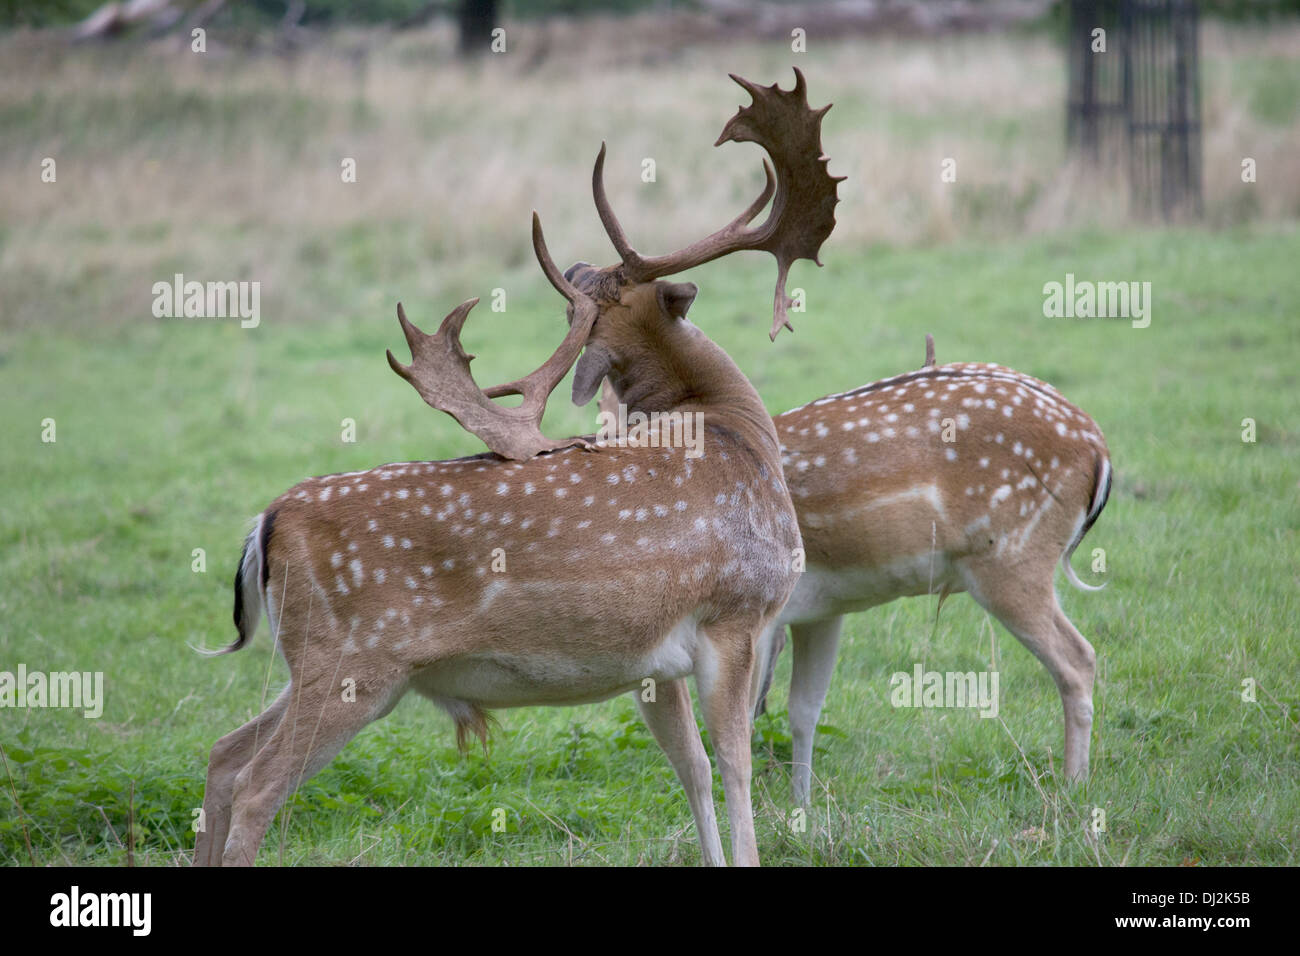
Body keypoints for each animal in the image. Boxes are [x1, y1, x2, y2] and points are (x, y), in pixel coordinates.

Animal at [192, 69, 842, 868]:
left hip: (314, 664)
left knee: (222, 756)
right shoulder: (737, 614)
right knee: (257, 787)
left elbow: (688, 768)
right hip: (351, 664)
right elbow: (735, 762)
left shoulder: (655, 663)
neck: (735, 431)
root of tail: (268, 522)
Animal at [754, 338, 1107, 806]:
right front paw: (801, 806)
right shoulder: (818, 613)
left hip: (1012, 559)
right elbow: (800, 709)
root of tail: (1099, 450)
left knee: (1078, 658)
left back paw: (1072, 785)